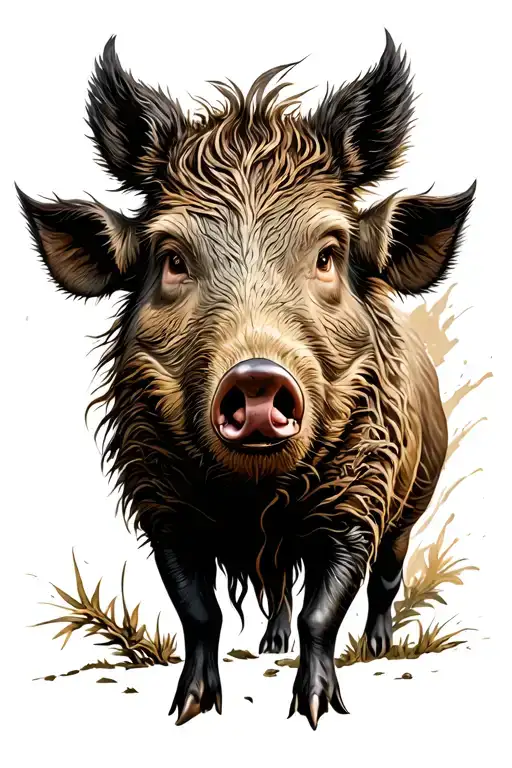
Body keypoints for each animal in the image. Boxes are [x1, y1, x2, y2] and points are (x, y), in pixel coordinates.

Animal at [17, 31, 475, 729]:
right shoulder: (162, 508)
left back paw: (378, 647)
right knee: (279, 589)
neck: (254, 501)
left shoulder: (358, 501)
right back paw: (268, 646)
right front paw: (190, 710)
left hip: (411, 505)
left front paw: (316, 712)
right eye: (173, 259)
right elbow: (199, 612)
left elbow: (325, 610)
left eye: (329, 255)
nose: (257, 379)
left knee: (384, 579)